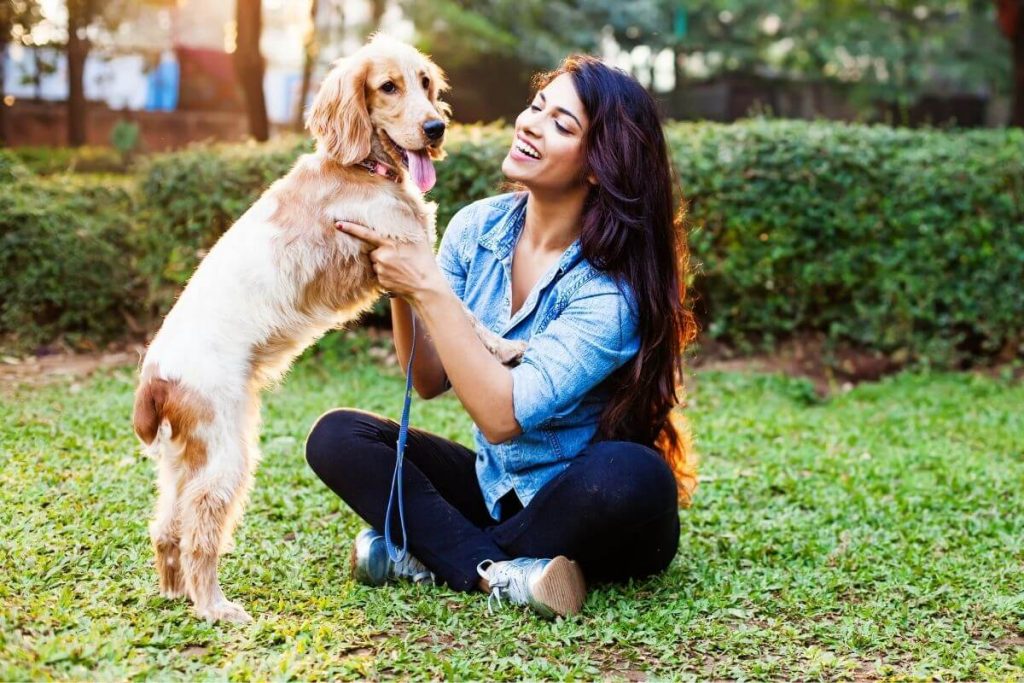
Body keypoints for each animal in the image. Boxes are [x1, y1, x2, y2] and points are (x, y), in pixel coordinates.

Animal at [132, 37, 524, 626]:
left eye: (425, 83)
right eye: (388, 87)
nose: (436, 128)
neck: (361, 166)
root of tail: (154, 376)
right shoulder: (405, 254)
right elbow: (468, 315)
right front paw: (504, 347)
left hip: (186, 459)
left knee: (166, 526)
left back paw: (177, 593)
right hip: (227, 454)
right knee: (200, 528)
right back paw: (215, 608)